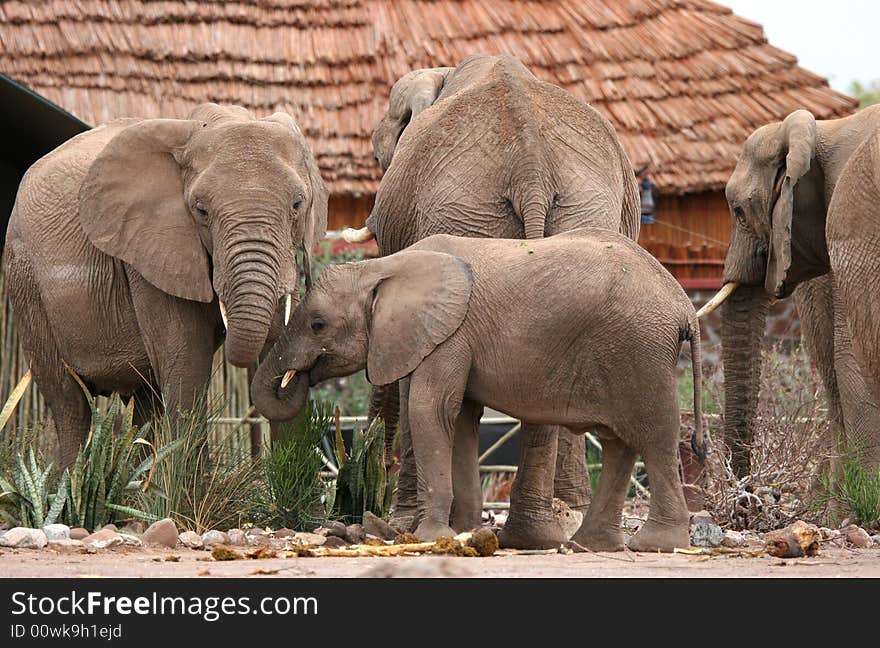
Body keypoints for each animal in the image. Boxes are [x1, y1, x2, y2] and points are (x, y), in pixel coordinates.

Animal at [4, 102, 326, 466]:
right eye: (201, 210)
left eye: (298, 205)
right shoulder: (150, 251)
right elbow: (186, 361)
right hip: (24, 278)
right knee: (70, 404)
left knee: (145, 400)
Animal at [251, 228, 704, 552]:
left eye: (317, 325)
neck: (382, 266)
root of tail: (684, 307)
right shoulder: (449, 338)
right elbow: (463, 418)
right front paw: (464, 532)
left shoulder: (449, 334)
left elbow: (431, 410)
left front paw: (430, 536)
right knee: (618, 443)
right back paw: (590, 545)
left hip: (640, 349)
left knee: (655, 437)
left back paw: (656, 545)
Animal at [340, 54, 636, 548]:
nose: (361, 502)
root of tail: (532, 168)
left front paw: (401, 524)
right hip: (576, 214)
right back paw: (539, 532)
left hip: (466, 216)